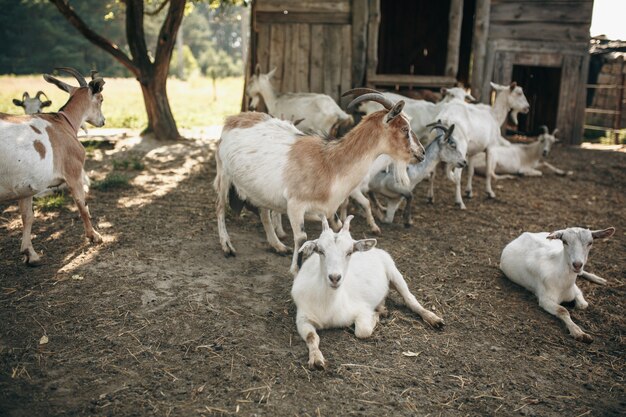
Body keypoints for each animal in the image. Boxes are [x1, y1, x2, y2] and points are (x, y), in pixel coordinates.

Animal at [0, 67, 105, 264]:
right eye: (101, 99)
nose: (103, 121)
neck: (63, 122)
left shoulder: (25, 186)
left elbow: (27, 216)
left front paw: (30, 254)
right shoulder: (73, 172)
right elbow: (82, 205)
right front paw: (94, 236)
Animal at [214, 89, 424, 274]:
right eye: (405, 129)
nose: (421, 153)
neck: (330, 163)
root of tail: (232, 119)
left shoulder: (328, 210)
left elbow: (337, 231)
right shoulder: (295, 205)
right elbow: (301, 238)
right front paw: (296, 271)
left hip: (260, 188)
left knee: (263, 212)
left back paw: (278, 246)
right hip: (223, 173)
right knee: (220, 207)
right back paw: (227, 246)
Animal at [290, 214, 442, 368]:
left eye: (349, 252)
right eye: (320, 251)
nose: (334, 278)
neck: (328, 304)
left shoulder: (361, 309)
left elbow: (363, 331)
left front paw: (375, 316)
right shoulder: (303, 317)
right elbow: (311, 336)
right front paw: (316, 359)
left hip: (393, 271)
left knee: (410, 298)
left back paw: (434, 319)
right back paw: (382, 308)